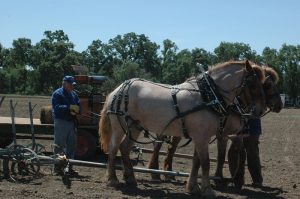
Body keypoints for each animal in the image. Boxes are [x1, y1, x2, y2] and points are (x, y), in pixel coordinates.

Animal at [98, 59, 264, 197]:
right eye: (252, 83)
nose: (259, 111)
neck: (208, 95)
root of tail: (117, 89)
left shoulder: (201, 136)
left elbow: (197, 161)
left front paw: (194, 188)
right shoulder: (201, 137)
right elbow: (205, 163)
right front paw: (208, 190)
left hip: (134, 126)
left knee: (124, 148)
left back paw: (131, 178)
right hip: (118, 126)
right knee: (113, 148)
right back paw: (112, 179)